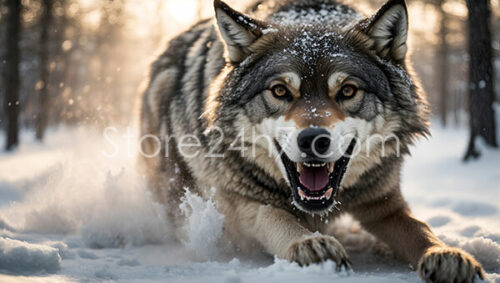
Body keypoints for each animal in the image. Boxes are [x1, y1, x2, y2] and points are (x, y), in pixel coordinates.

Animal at [138, 1, 484, 282]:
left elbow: (420, 229)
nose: (313, 139)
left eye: (347, 91)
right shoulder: (241, 201)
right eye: (280, 91)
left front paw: (447, 255)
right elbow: (275, 216)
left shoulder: (383, 203)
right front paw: (309, 243)